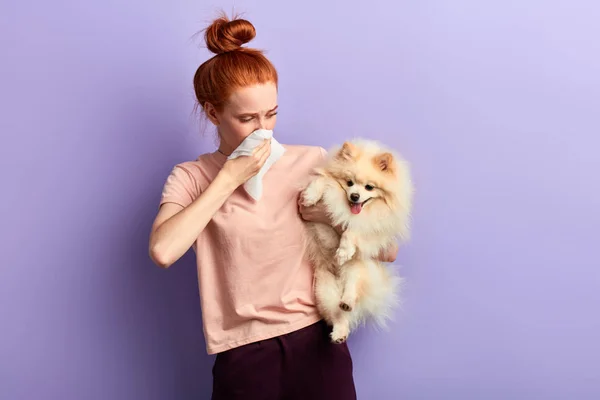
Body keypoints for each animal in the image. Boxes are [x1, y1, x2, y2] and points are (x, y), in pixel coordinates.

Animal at [300, 139, 412, 342]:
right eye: (349, 182)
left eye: (369, 187)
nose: (354, 196)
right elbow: (323, 180)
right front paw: (310, 196)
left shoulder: (375, 230)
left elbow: (352, 231)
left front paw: (343, 251)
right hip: (323, 288)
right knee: (339, 315)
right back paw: (340, 332)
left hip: (357, 270)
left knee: (353, 290)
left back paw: (348, 300)